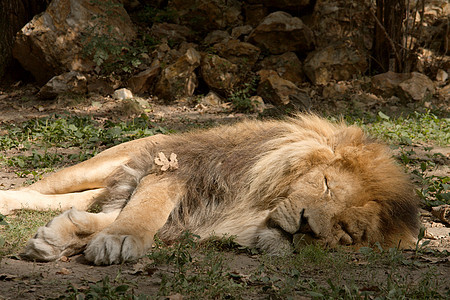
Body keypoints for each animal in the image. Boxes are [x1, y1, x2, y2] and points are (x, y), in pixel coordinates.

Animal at [0, 113, 418, 264]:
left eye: (345, 232)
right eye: (327, 186)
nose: (304, 225)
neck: (248, 211)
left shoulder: (188, 218)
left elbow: (103, 219)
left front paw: (59, 237)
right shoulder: (175, 169)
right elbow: (146, 209)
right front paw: (120, 239)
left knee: (66, 199)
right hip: (104, 163)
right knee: (41, 187)